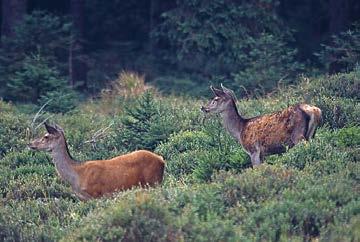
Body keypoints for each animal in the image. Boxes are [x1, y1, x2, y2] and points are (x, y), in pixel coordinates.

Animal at [28, 123, 166, 200]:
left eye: (46, 136)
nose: (30, 143)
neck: (77, 176)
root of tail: (161, 160)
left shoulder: (96, 194)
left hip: (153, 182)